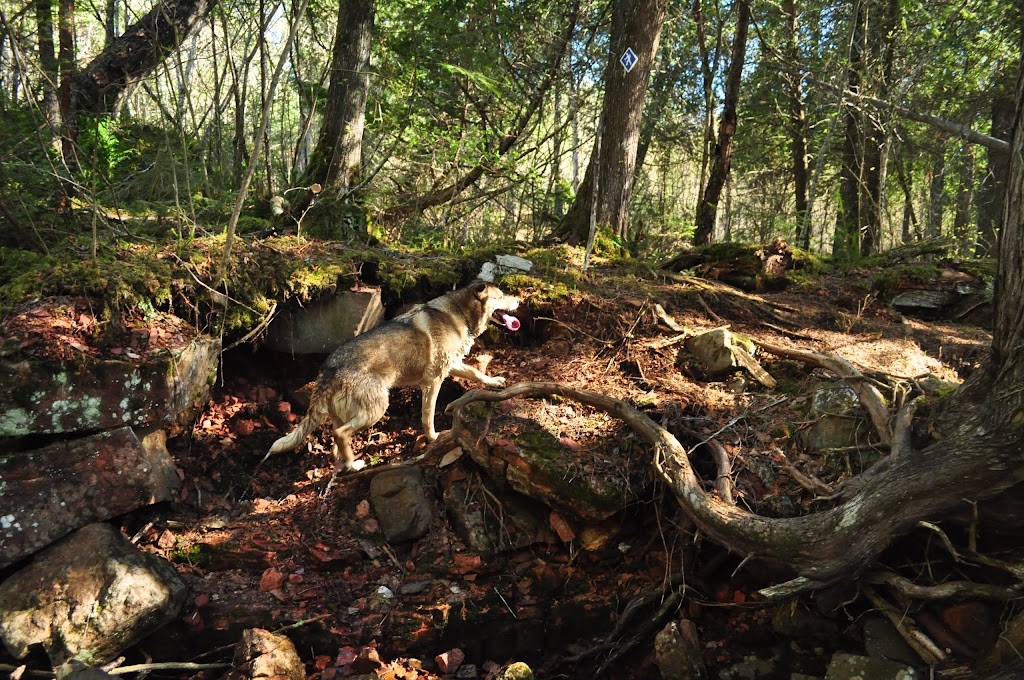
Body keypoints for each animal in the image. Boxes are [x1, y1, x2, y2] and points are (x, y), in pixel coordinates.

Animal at [264, 280, 520, 473]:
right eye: (501, 296)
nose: (519, 300)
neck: (460, 314)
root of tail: (328, 369)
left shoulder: (452, 365)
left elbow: (476, 372)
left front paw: (494, 382)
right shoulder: (433, 381)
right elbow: (428, 417)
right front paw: (433, 438)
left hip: (348, 413)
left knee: (336, 441)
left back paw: (345, 462)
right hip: (376, 408)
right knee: (340, 434)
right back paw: (353, 465)